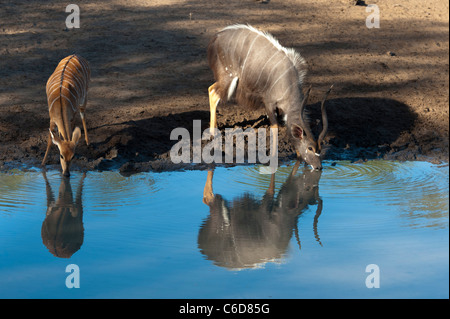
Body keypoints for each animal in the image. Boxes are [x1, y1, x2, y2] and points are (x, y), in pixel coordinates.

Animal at [207, 24, 330, 170]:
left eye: (320, 149)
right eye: (310, 148)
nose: (318, 167)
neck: (288, 82)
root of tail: (216, 37)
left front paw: (298, 156)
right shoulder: (269, 103)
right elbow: (275, 126)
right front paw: (273, 157)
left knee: (210, 88)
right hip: (229, 78)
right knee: (213, 93)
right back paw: (212, 134)